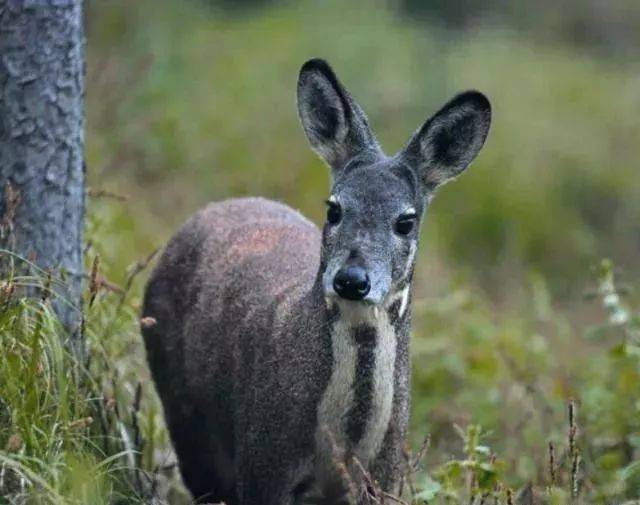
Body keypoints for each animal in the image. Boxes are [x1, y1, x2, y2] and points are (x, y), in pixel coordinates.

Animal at [140, 57, 490, 502]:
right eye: (334, 208)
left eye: (406, 221)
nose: (352, 279)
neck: (343, 443)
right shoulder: (262, 460)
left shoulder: (387, 476)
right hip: (181, 407)